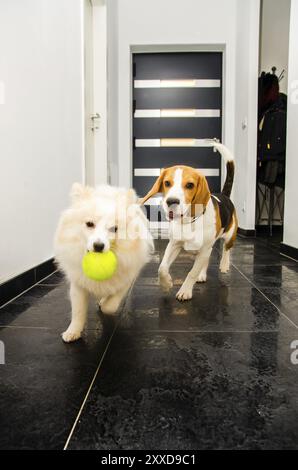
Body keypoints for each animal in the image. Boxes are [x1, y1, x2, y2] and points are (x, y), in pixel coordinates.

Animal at [54, 183, 154, 342]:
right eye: (89, 224)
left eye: (114, 229)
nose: (98, 246)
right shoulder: (78, 283)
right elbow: (78, 310)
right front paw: (73, 331)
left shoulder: (127, 278)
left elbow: (111, 305)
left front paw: (104, 304)